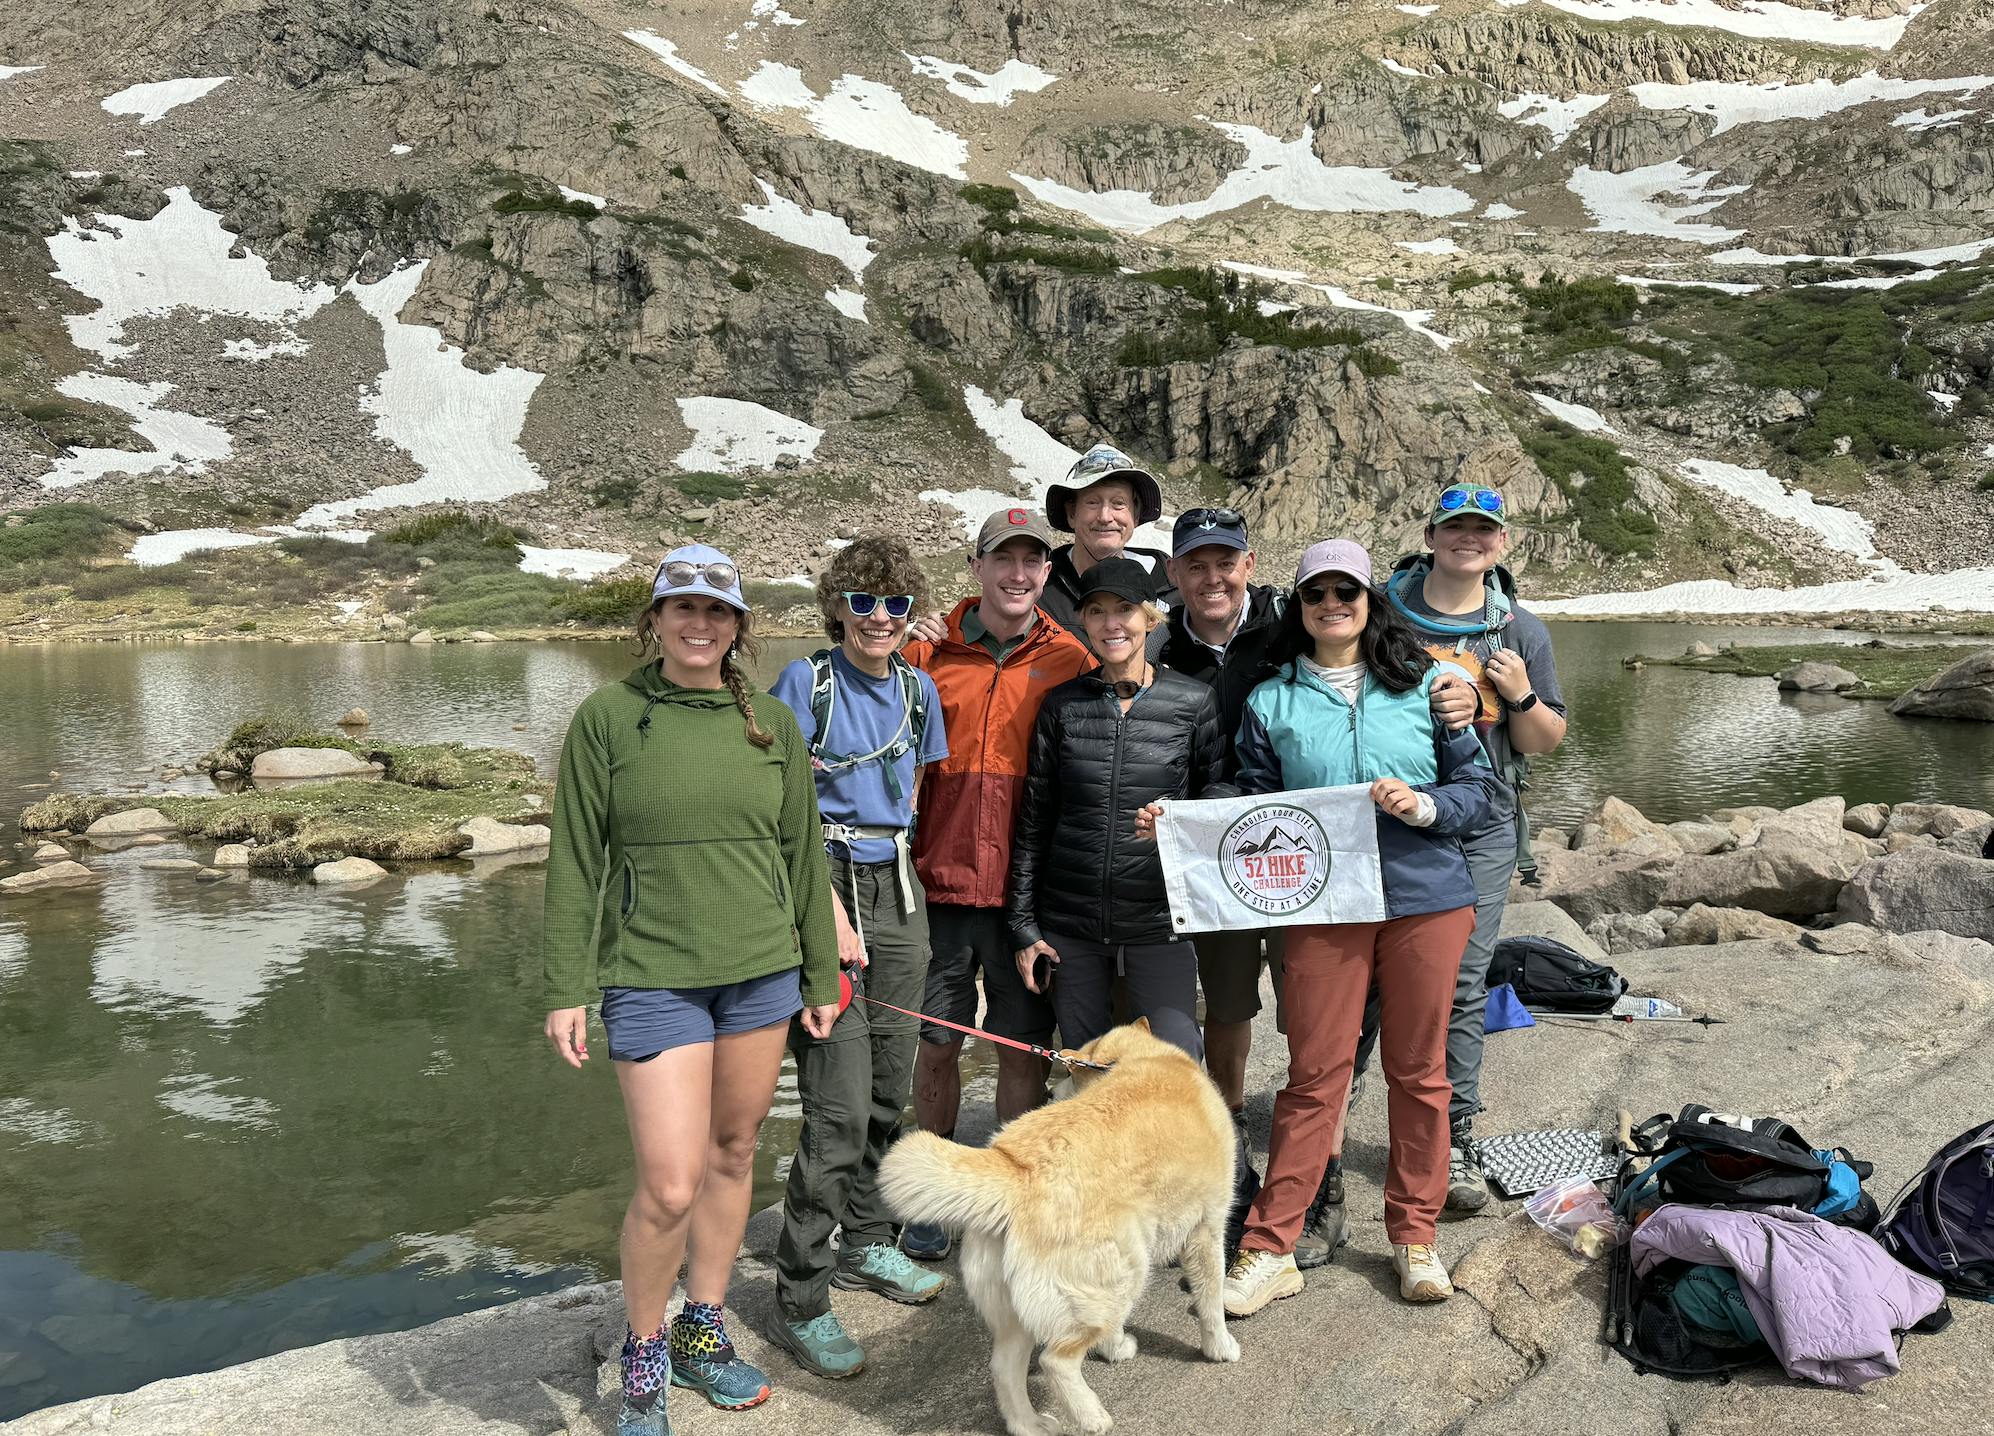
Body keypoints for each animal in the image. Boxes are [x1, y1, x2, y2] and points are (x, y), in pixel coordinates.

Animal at [881, 1017, 1236, 1428]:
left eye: (1067, 1072)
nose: (1049, 1092)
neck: (1135, 1059)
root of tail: (1017, 1169)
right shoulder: (1206, 1231)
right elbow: (1210, 1299)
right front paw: (1219, 1346)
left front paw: (1114, 1348)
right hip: (1119, 1278)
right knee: (1056, 1361)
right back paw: (1092, 1417)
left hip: (1026, 1308)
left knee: (1003, 1368)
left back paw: (1029, 1426)